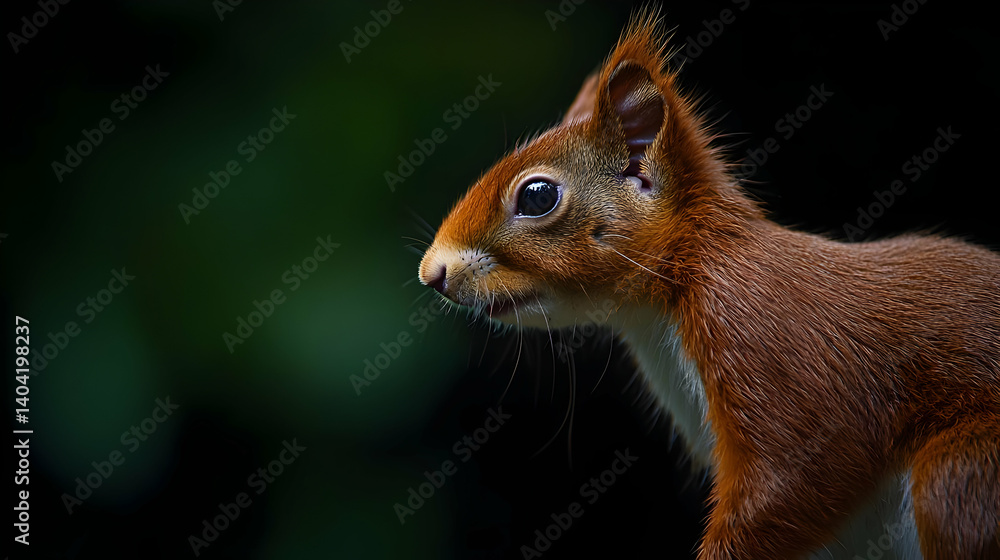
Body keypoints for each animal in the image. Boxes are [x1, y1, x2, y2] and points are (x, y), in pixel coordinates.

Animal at [418, 9, 999, 560]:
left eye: (537, 196)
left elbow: (797, 479)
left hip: (957, 480)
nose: (432, 273)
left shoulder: (764, 338)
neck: (660, 307)